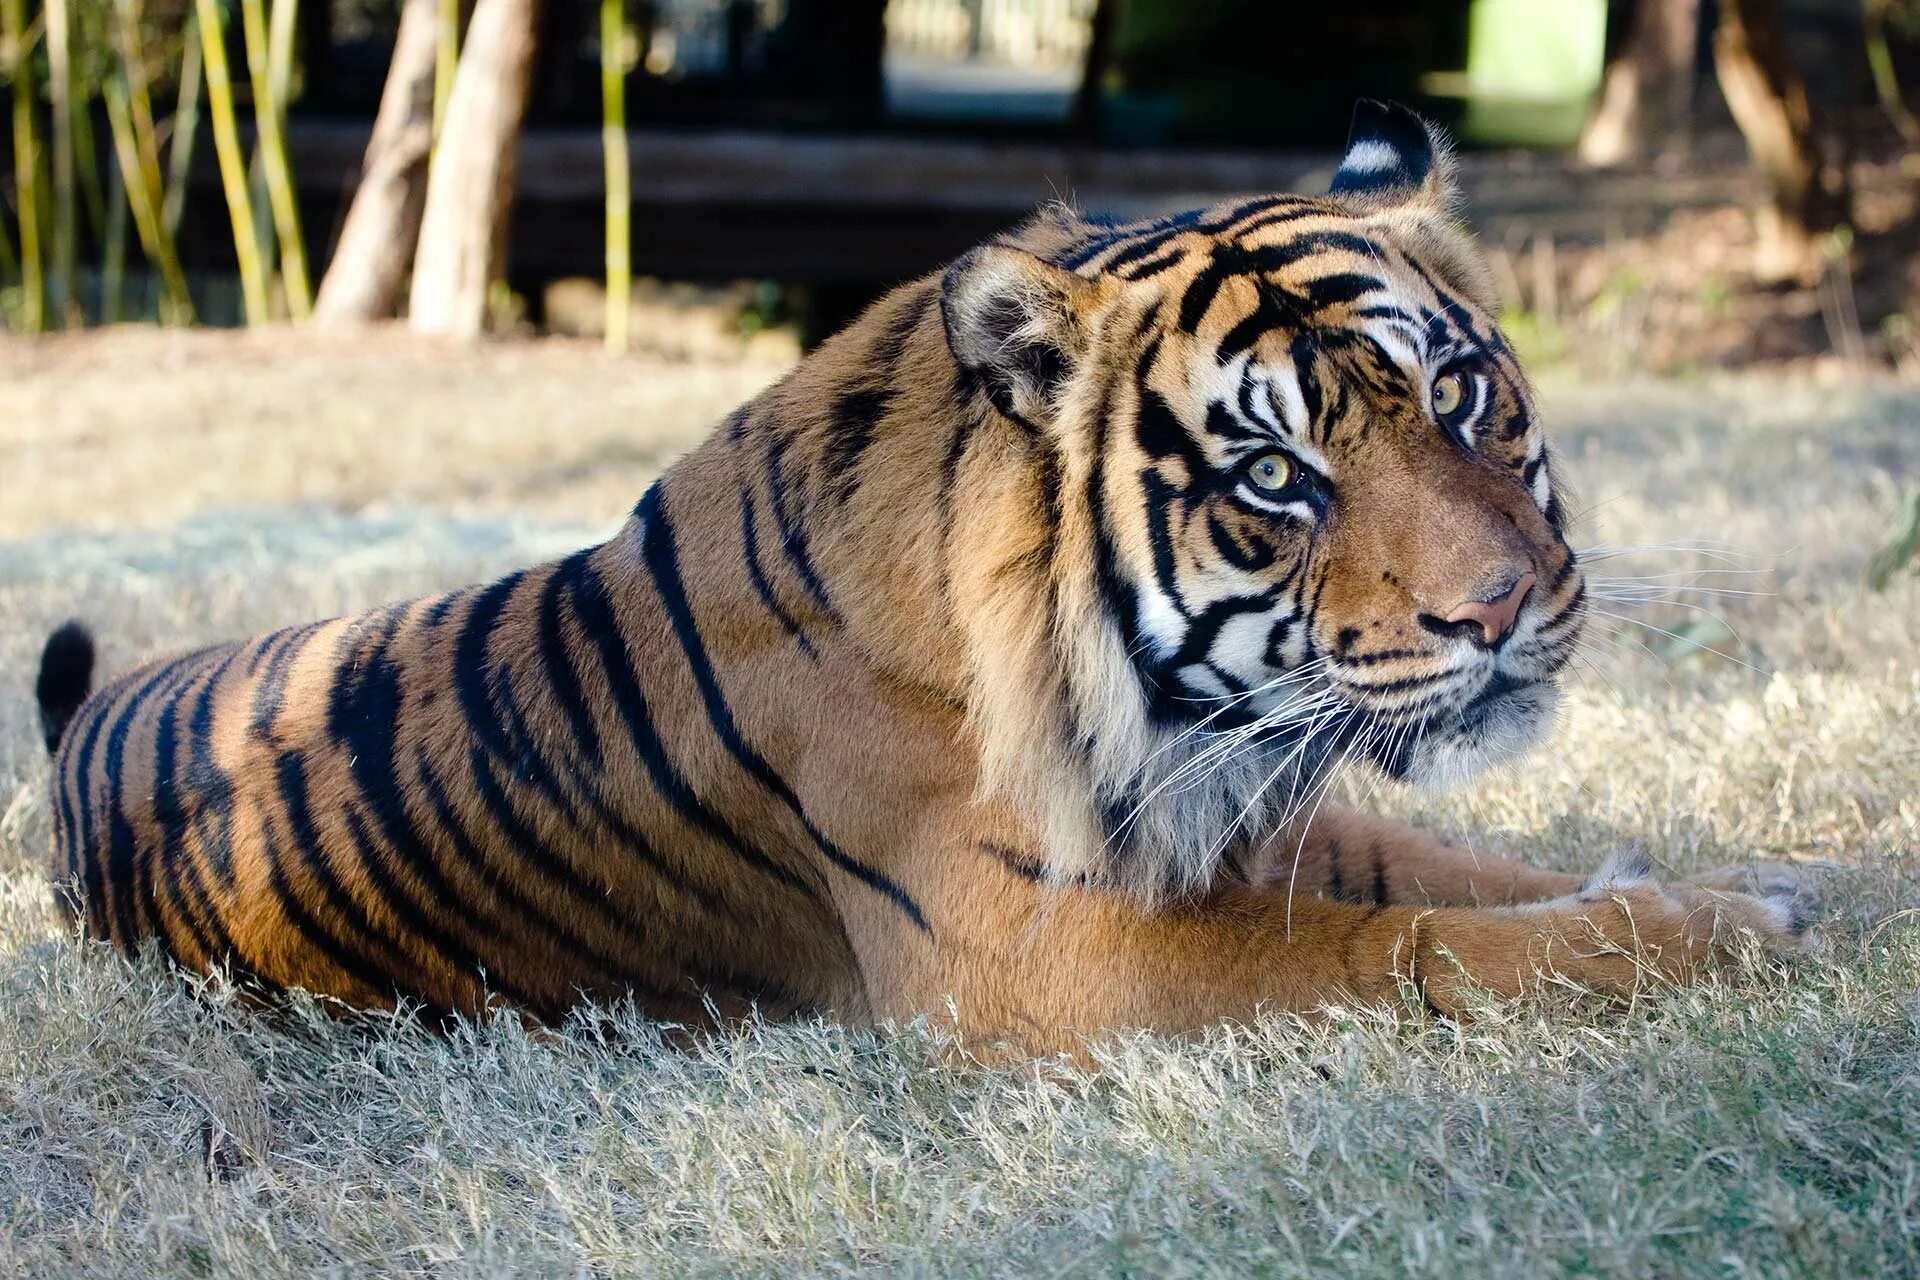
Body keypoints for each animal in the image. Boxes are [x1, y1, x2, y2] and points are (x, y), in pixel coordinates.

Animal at [37, 105, 1804, 1059]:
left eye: (1455, 394)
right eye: (1272, 479)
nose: (1498, 608)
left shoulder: (1231, 814)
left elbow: (1468, 871)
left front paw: (1775, 885)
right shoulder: (1053, 960)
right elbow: (1431, 950)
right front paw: (1731, 934)